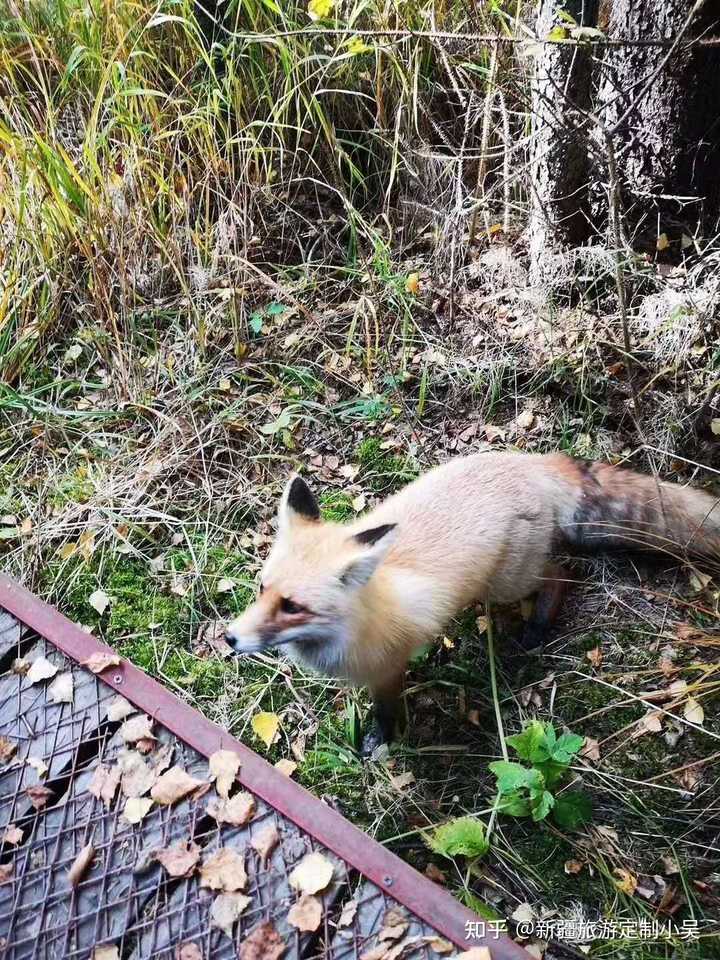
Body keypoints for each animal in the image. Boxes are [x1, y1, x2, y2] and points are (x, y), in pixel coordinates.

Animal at [224, 454, 716, 752]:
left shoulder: (388, 672)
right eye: (262, 589)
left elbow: (386, 713)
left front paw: (382, 742)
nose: (229, 638)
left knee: (564, 573)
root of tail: (530, 461)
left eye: (293, 606)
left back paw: (537, 628)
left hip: (508, 584)